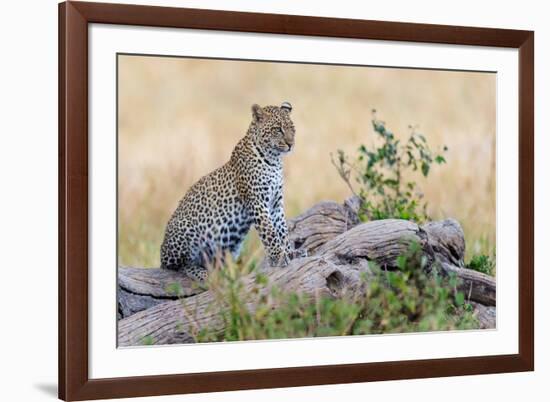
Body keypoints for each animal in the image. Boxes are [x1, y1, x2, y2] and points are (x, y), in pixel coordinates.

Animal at [161, 102, 298, 282]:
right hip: (186, 229)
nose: (291, 144)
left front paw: (290, 252)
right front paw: (279, 257)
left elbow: (282, 230)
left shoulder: (275, 203)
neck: (274, 160)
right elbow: (269, 232)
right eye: (277, 129)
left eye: (292, 129)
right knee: (177, 266)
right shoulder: (257, 202)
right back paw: (201, 273)